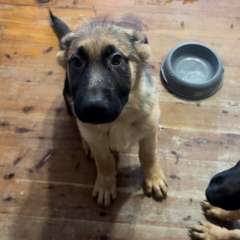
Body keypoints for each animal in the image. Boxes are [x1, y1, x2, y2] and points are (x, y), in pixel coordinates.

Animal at [49, 10, 168, 206]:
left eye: (116, 60)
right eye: (76, 62)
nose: (93, 108)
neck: (120, 118)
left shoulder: (150, 131)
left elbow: (149, 154)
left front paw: (154, 178)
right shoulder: (98, 142)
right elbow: (105, 162)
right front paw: (106, 184)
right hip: (69, 100)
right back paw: (86, 143)